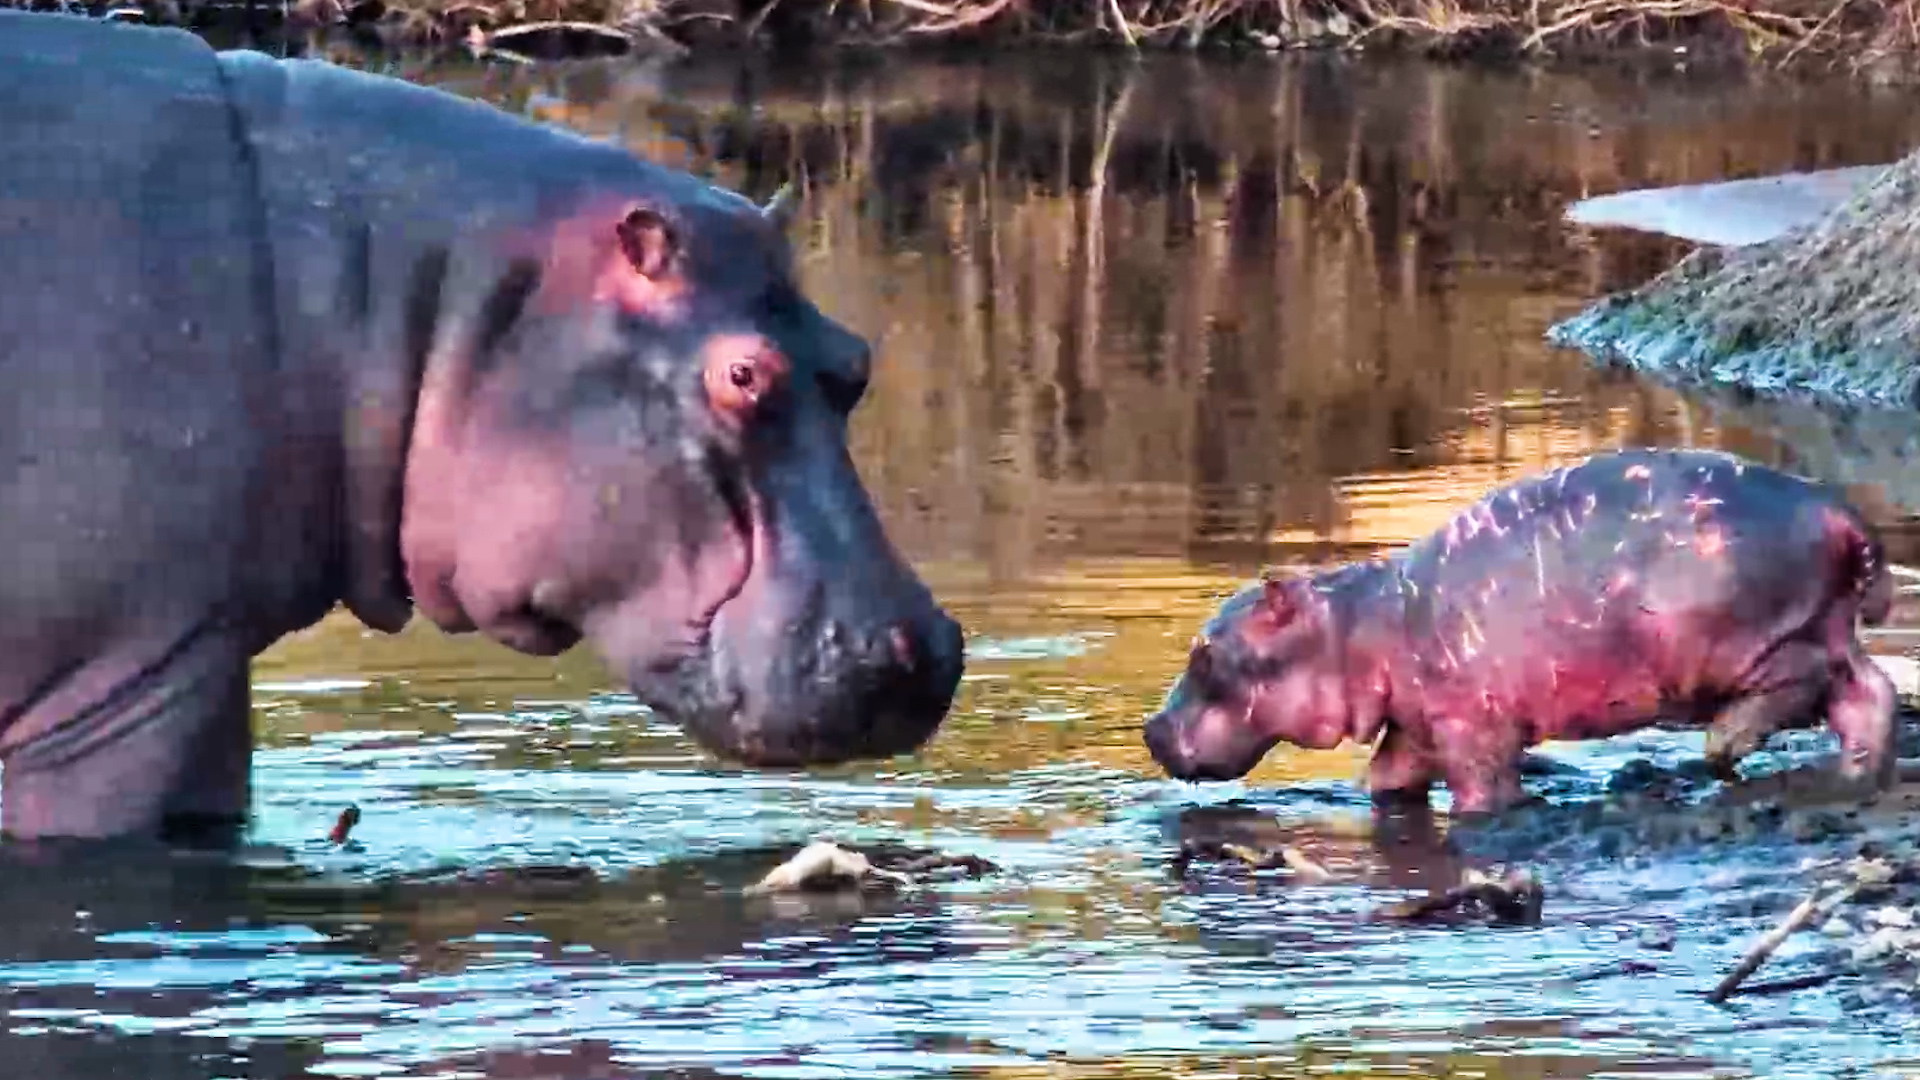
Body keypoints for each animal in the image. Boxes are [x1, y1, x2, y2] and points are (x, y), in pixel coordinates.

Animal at [1142, 448, 1899, 816]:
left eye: (1207, 657)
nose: (1150, 730)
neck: (1354, 625)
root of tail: (1838, 513)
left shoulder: (1470, 728)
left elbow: (1483, 792)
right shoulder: (1416, 726)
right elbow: (1387, 780)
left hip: (1739, 643)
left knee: (1803, 682)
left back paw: (1725, 743)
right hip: (1826, 621)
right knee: (1870, 694)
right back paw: (1859, 769)